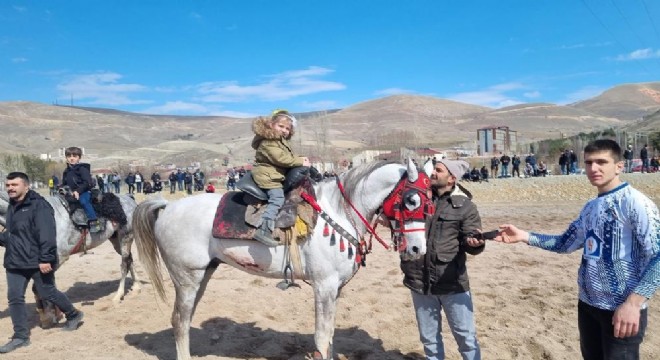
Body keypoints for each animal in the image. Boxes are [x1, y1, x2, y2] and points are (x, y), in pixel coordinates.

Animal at [133, 160, 434, 360]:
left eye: (431, 201)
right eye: (411, 200)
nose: (417, 248)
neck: (339, 211)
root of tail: (167, 207)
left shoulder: (334, 289)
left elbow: (331, 335)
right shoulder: (324, 286)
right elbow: (322, 336)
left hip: (202, 275)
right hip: (187, 278)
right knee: (179, 322)